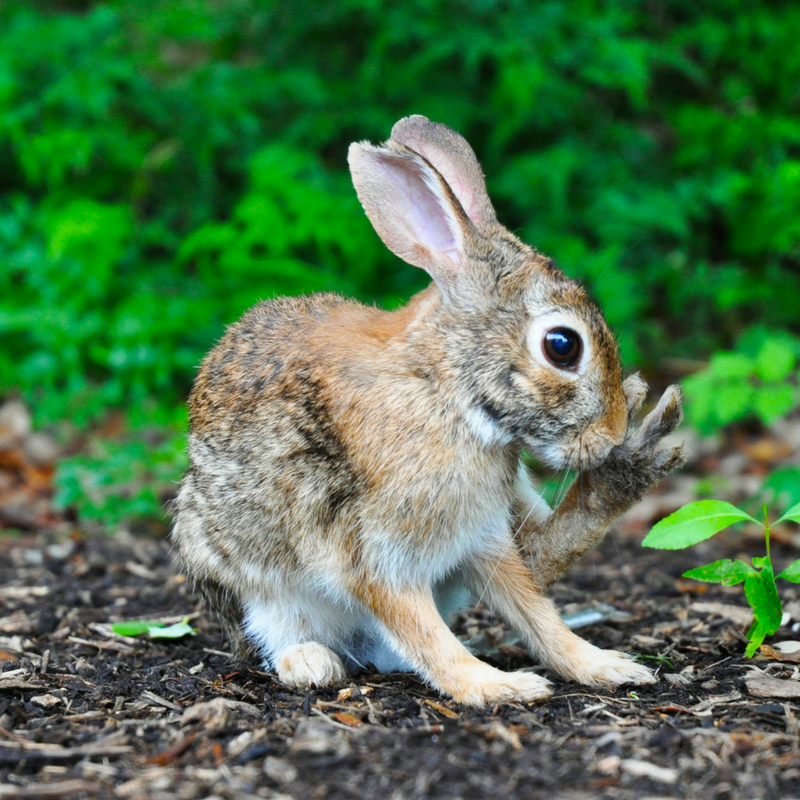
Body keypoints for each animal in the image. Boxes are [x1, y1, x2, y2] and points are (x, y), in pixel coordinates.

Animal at [172, 114, 684, 708]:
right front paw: (495, 685)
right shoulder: (374, 552)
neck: (446, 391)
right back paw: (311, 662)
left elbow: (536, 613)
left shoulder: (481, 537)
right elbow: (425, 632)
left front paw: (603, 667)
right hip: (250, 580)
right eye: (562, 345)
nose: (610, 434)